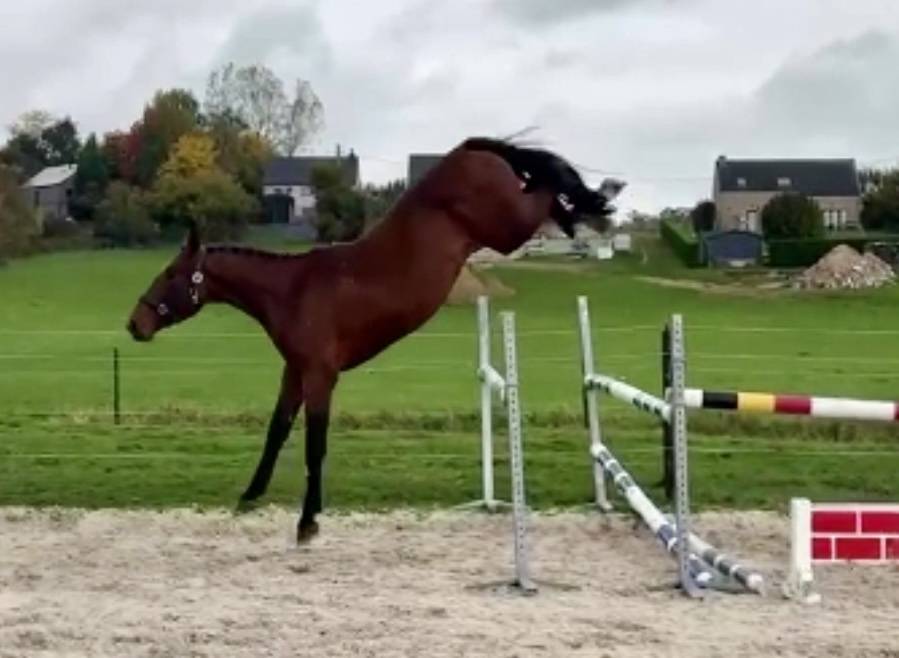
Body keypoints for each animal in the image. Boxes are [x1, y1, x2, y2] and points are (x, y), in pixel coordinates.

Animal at [126, 136, 624, 543]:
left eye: (169, 274)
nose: (135, 323)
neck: (291, 290)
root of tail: (467, 150)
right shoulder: (295, 372)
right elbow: (277, 431)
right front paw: (251, 495)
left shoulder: (320, 376)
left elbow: (314, 444)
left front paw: (307, 521)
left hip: (507, 228)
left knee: (546, 190)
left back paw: (600, 198)